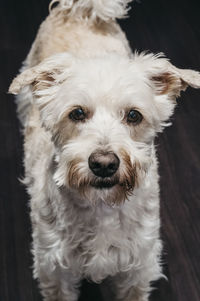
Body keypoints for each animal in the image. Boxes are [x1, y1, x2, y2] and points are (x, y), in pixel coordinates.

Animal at [9, 0, 200, 300]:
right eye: (77, 113)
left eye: (134, 115)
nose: (104, 164)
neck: (102, 206)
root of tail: (78, 11)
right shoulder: (54, 269)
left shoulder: (138, 268)